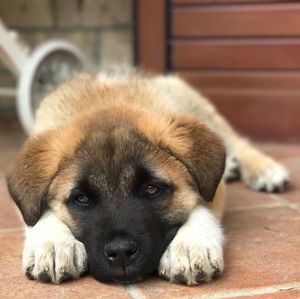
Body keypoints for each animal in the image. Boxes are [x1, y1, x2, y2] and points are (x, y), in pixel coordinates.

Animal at [6, 71, 288, 286]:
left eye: (152, 189)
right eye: (81, 198)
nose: (121, 253)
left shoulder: (211, 188)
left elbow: (202, 205)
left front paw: (190, 245)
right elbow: (37, 213)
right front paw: (52, 243)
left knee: (238, 142)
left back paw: (264, 170)